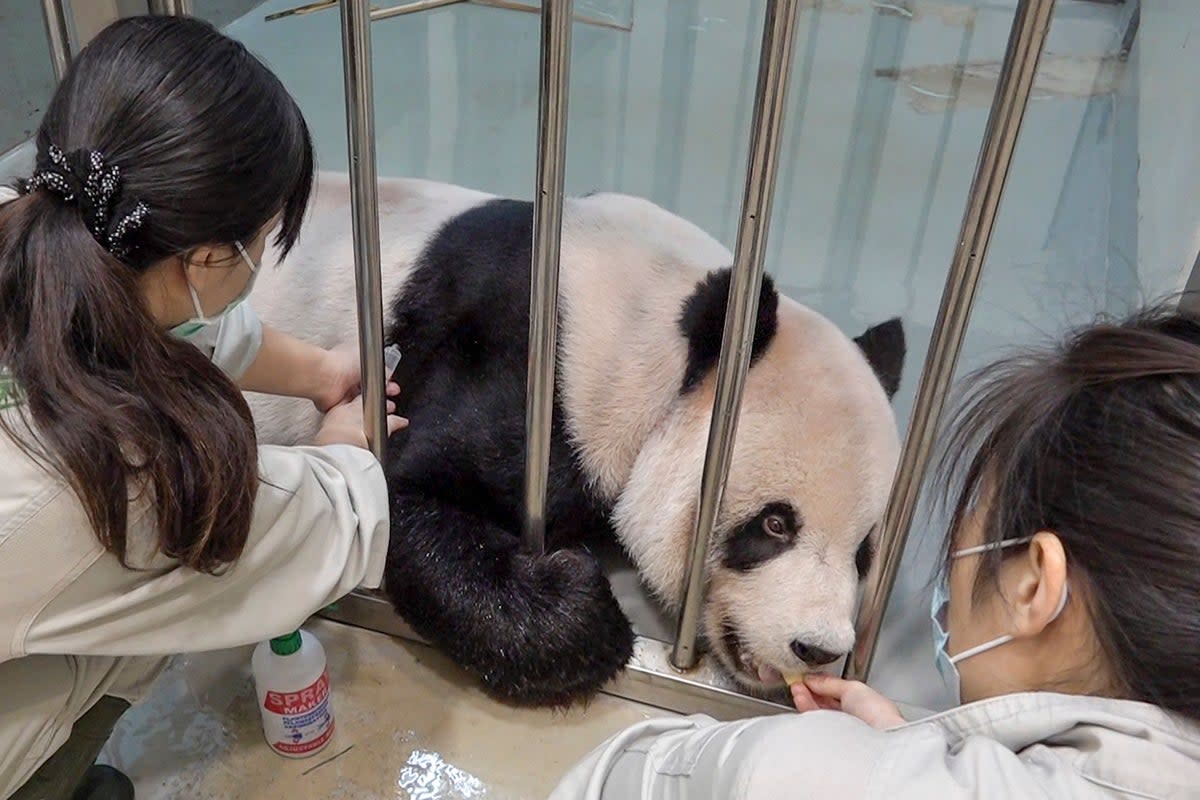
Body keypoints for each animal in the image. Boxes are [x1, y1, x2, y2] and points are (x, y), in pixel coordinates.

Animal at [248, 172, 902, 705]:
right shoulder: (525, 367)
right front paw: (583, 599)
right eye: (774, 524)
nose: (818, 648)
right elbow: (399, 495)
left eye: (864, 552)